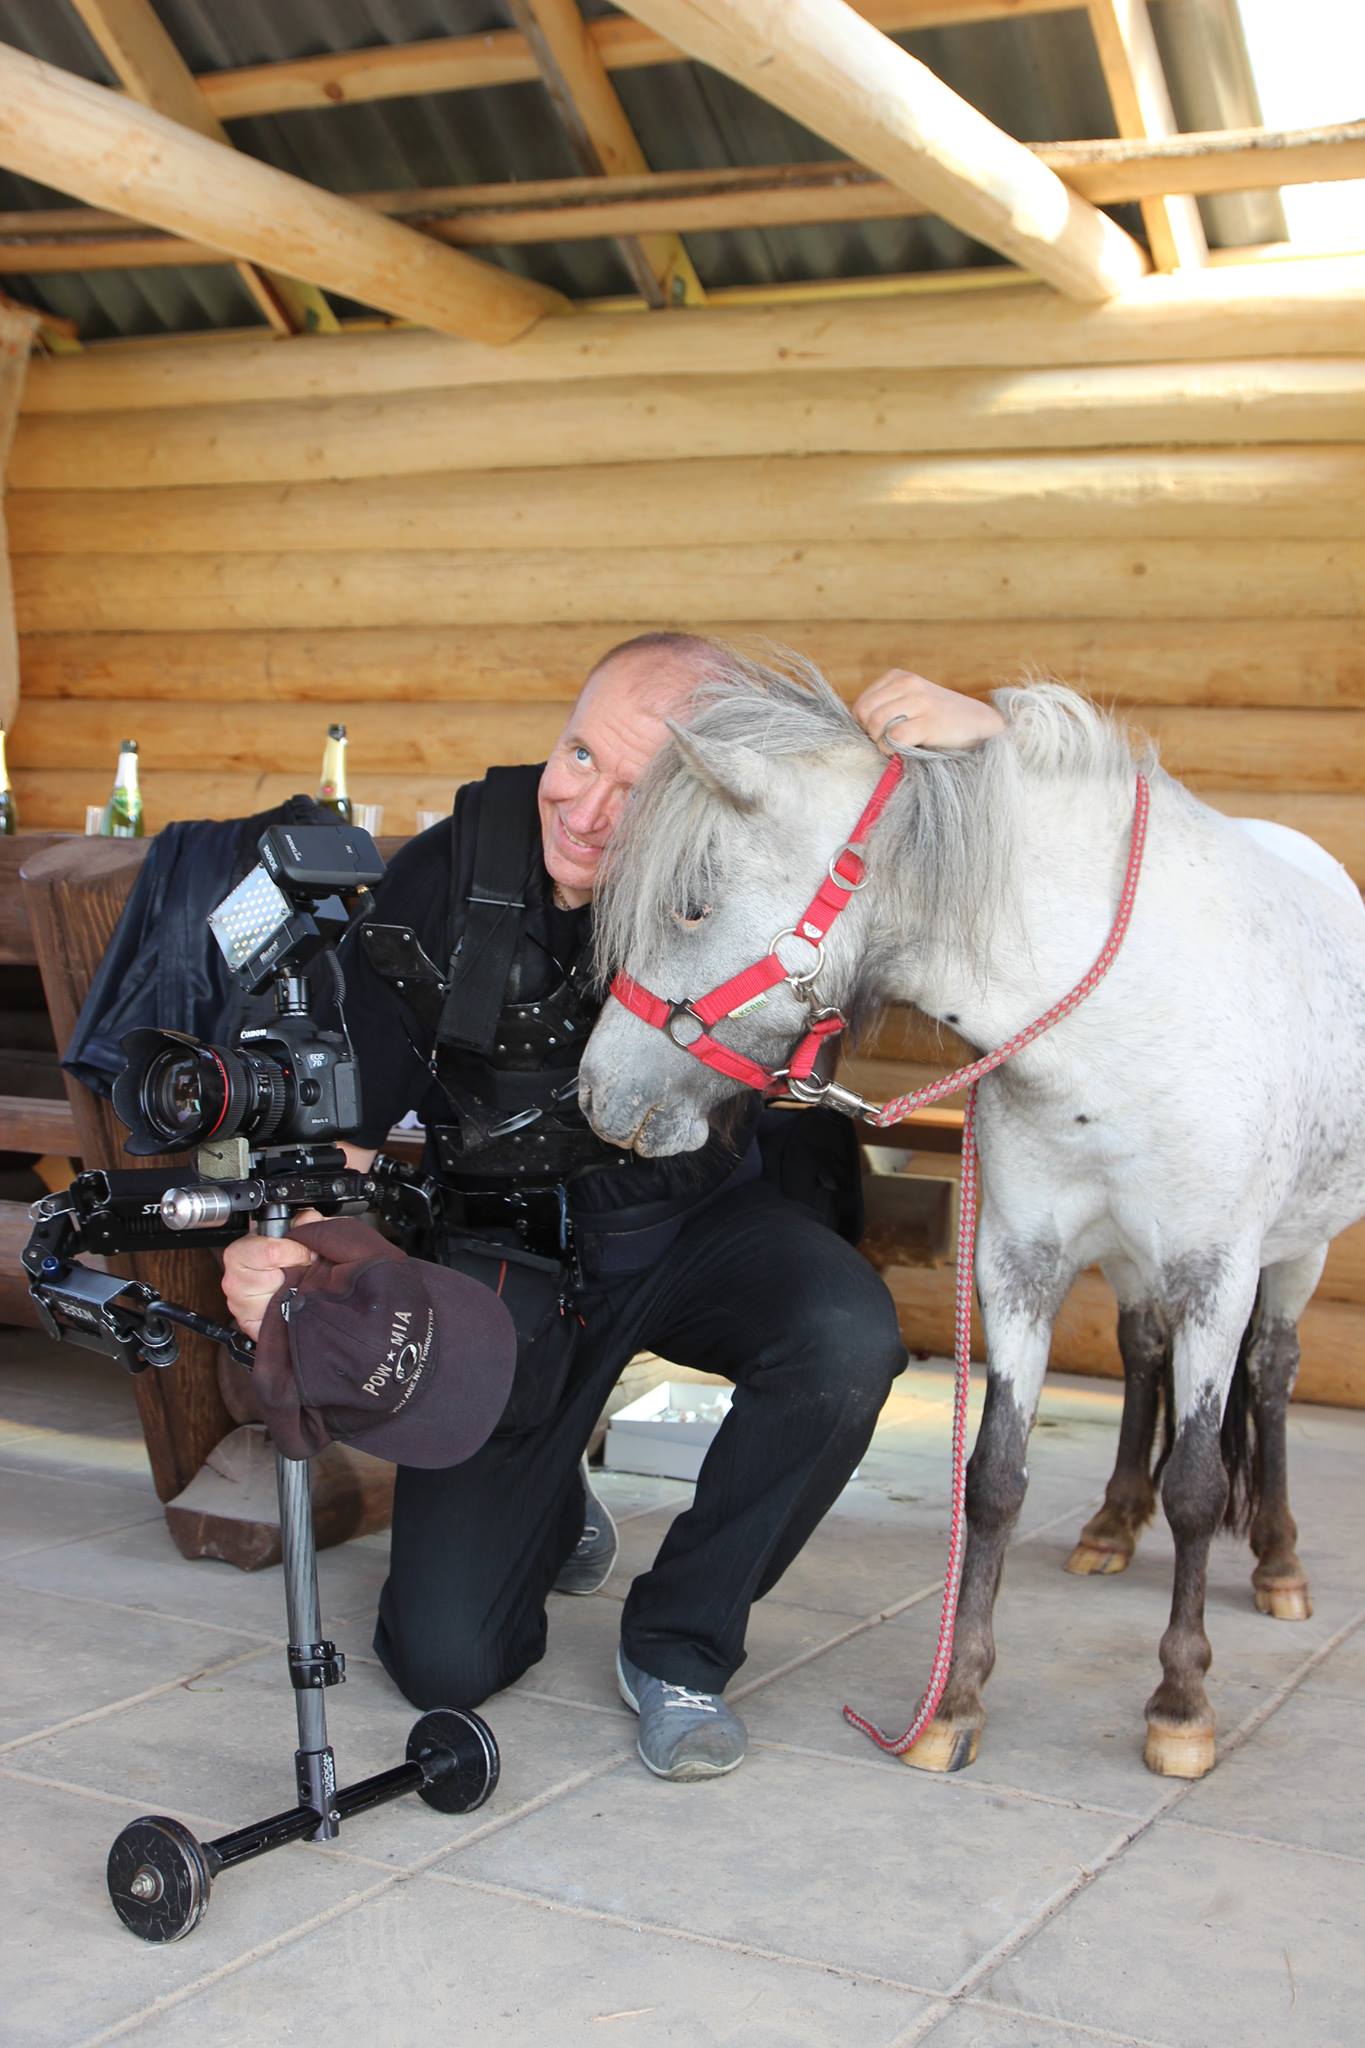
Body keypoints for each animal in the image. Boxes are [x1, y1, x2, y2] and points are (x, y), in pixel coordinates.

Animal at [578, 650, 1365, 1782]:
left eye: (690, 904)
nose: (598, 1098)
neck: (1121, 1012)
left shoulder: (1214, 1273)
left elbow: (1200, 1485)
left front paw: (1180, 1703)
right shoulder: (1018, 1262)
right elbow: (991, 1477)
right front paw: (953, 1701)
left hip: (1297, 1255)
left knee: (1271, 1373)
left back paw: (1279, 1559)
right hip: (1131, 1268)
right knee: (1139, 1355)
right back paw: (1112, 1523)